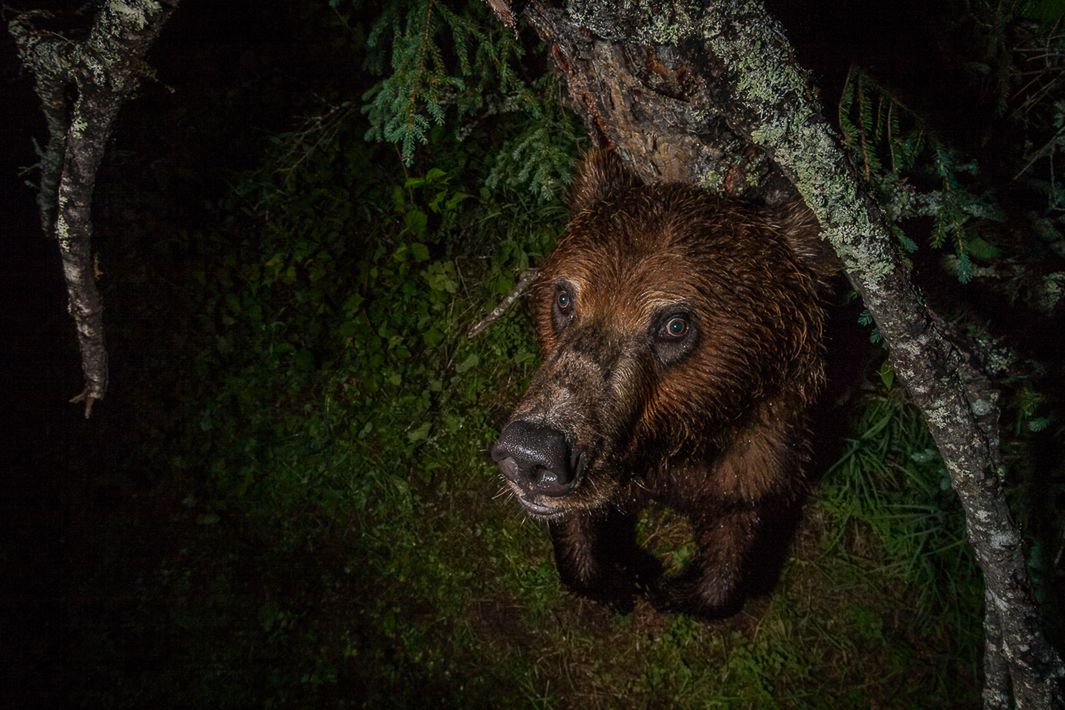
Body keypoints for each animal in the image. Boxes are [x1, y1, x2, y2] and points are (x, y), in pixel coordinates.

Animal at [489, 150, 830, 617]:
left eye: (674, 325)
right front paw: (616, 579)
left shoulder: (765, 444)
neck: (671, 442)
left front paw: (670, 590)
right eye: (564, 298)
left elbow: (744, 521)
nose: (531, 454)